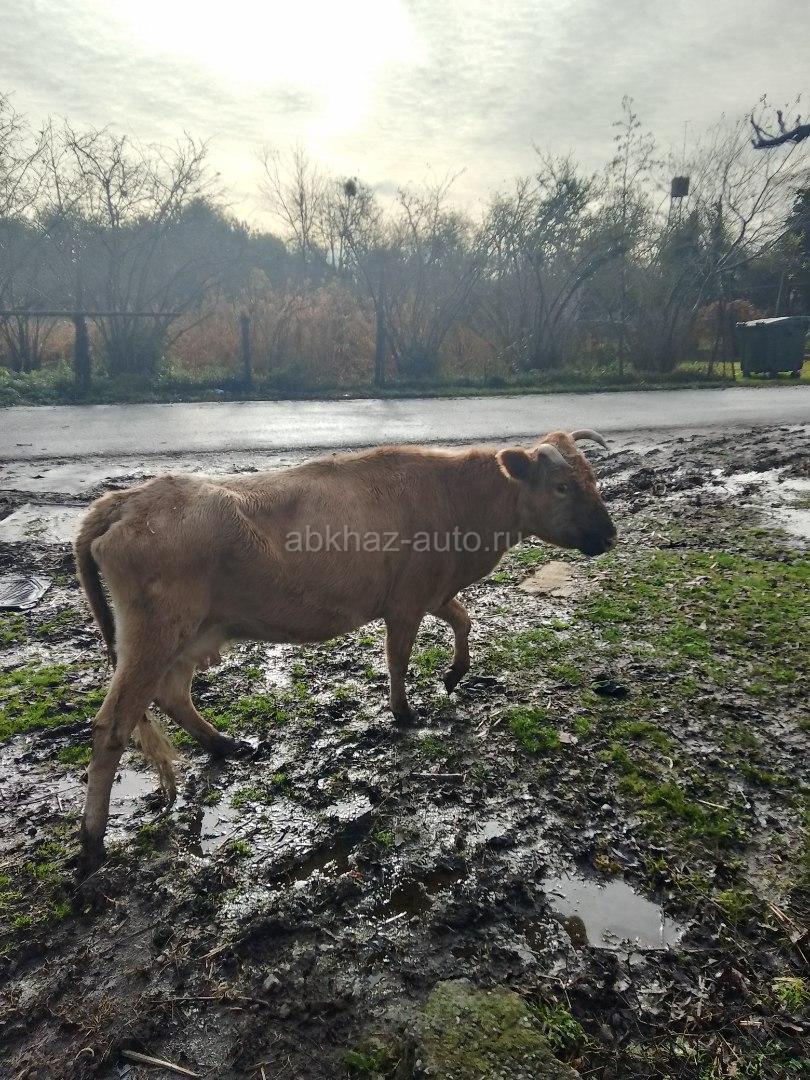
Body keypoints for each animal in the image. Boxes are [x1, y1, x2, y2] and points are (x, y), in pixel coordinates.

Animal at [73, 429, 615, 875]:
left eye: (592, 478)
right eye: (562, 486)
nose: (609, 535)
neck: (458, 501)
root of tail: (125, 499)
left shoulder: (433, 591)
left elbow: (463, 619)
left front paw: (455, 674)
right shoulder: (407, 600)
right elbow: (398, 658)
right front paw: (403, 713)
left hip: (189, 634)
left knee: (171, 697)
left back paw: (225, 744)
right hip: (154, 633)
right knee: (113, 724)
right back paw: (92, 841)